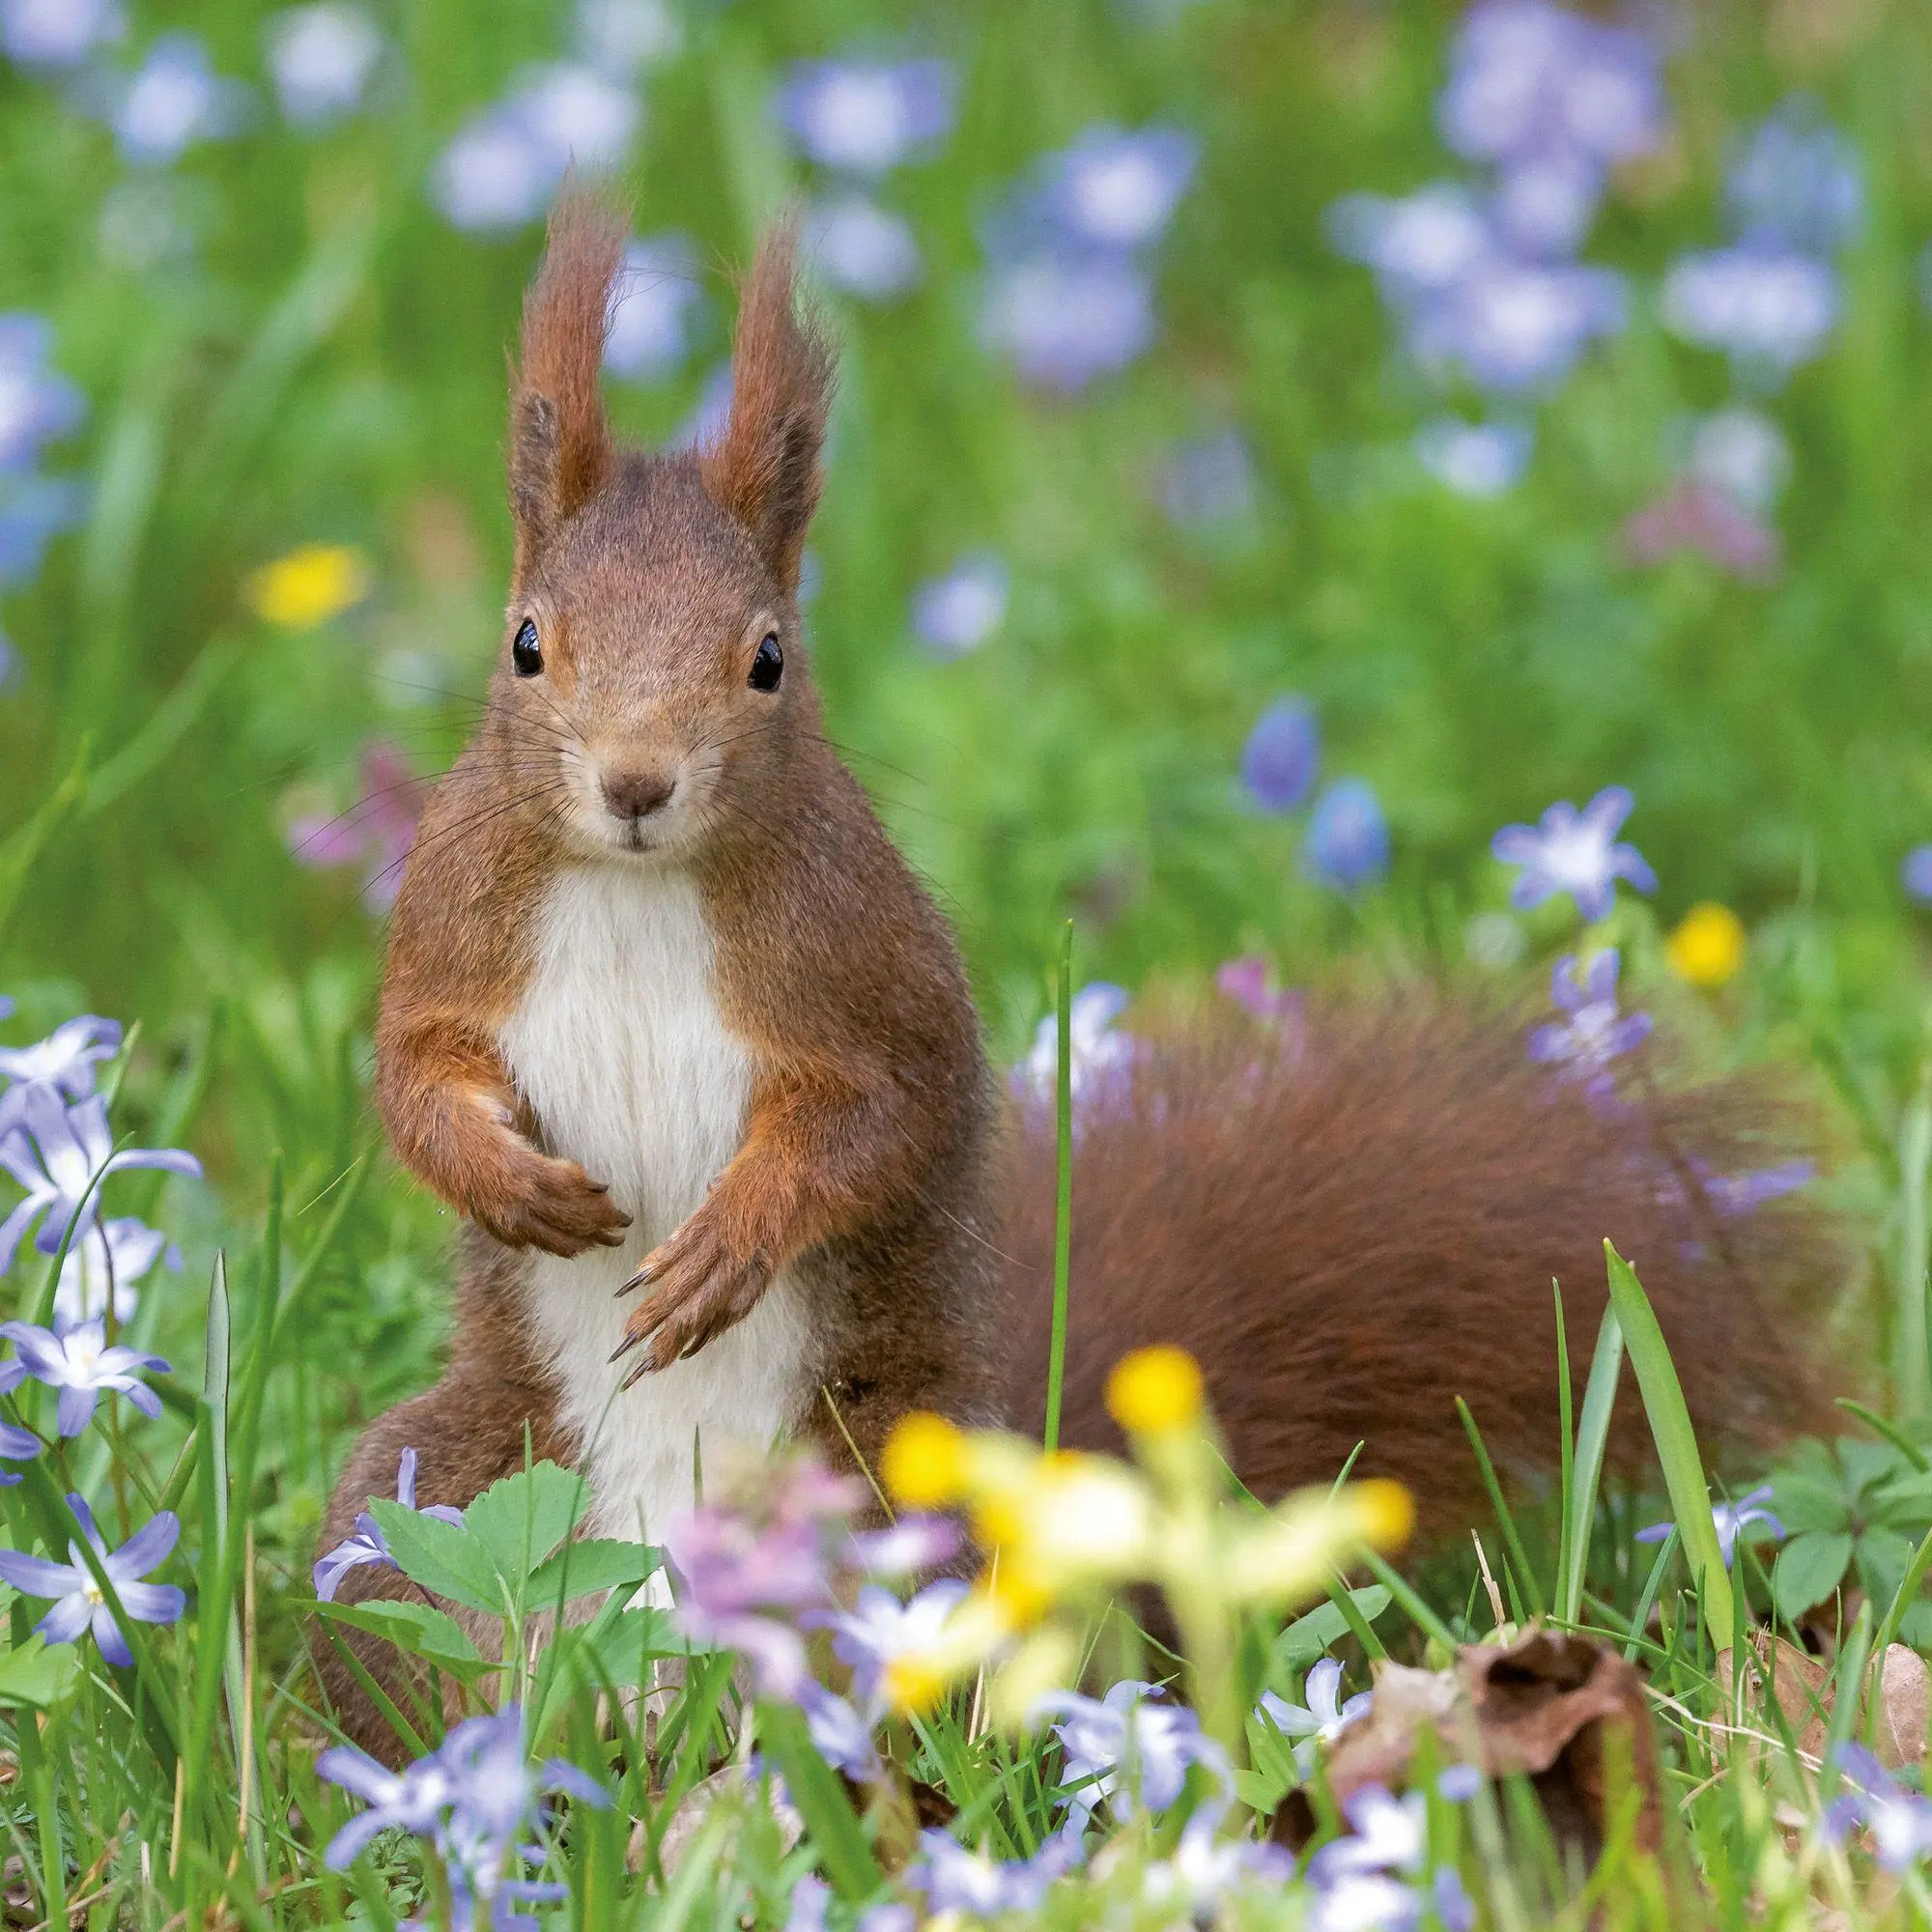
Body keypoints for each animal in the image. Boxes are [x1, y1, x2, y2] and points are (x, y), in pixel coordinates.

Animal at [316, 192, 1842, 1757]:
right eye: (526, 642)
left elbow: (881, 1117)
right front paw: (510, 1183)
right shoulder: (449, 935)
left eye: (768, 660)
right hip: (428, 1508)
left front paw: (733, 1238)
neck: (633, 888)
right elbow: (414, 1073)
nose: (635, 783)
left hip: (911, 1520)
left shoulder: (867, 972)